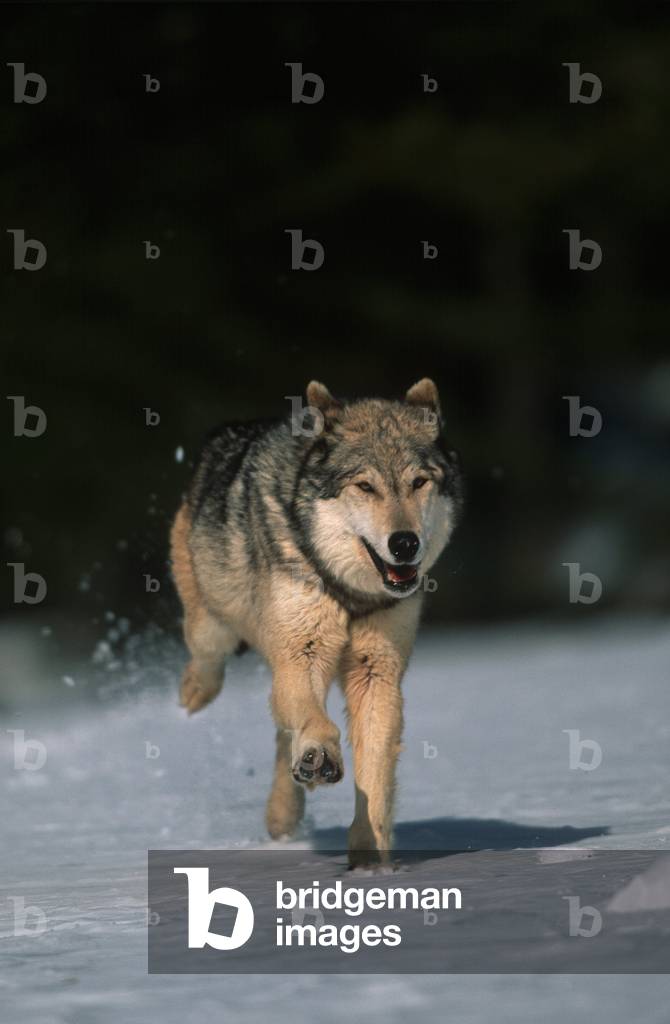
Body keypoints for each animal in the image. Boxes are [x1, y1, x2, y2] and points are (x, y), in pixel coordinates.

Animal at [170, 378, 463, 866]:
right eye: (365, 486)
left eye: (419, 482)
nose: (405, 543)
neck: (350, 593)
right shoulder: (301, 654)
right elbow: (316, 722)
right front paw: (320, 757)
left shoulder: (375, 672)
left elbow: (375, 773)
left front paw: (370, 857)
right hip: (215, 626)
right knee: (210, 660)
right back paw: (194, 695)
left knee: (278, 729)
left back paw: (284, 814)